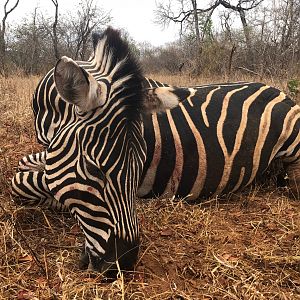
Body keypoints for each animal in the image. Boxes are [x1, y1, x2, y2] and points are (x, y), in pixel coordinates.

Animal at [10, 27, 298, 274]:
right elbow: (26, 166)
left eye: (139, 168)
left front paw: (52, 200)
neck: (47, 115)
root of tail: (274, 88)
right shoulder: (49, 152)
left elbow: (21, 183)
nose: (123, 263)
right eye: (93, 169)